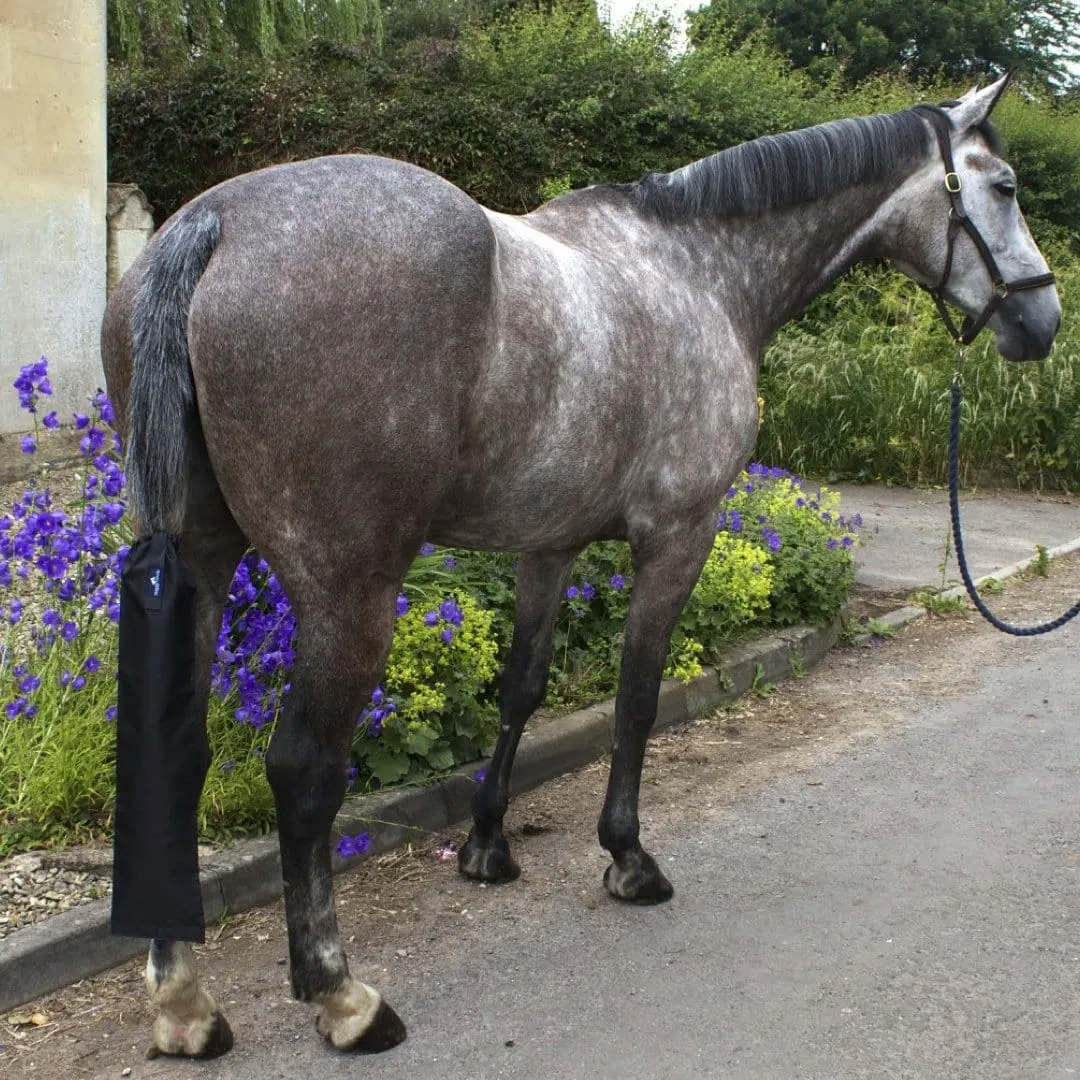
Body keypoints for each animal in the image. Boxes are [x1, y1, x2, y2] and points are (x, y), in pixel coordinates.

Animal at [97, 76, 1058, 1054]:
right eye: (1006, 186)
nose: (1042, 319)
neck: (700, 270)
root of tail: (213, 222)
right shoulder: (679, 534)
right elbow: (637, 695)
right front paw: (628, 857)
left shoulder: (549, 545)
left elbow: (523, 689)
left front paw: (487, 846)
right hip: (348, 592)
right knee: (303, 771)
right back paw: (342, 996)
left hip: (202, 563)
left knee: (177, 751)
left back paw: (183, 1003)